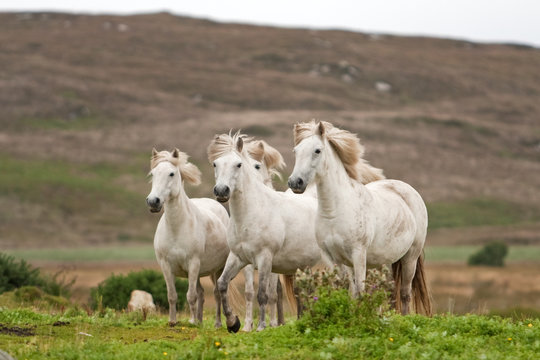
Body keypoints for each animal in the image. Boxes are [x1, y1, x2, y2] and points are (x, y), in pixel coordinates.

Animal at [147, 148, 231, 328]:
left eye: (171, 174)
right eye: (153, 174)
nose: (153, 201)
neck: (176, 229)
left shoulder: (193, 263)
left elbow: (191, 296)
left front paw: (191, 322)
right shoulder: (166, 266)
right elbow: (172, 295)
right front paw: (173, 321)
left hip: (217, 269)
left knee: (216, 293)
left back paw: (217, 323)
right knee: (201, 293)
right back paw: (198, 321)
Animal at [209, 132, 322, 332]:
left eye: (238, 164)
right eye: (215, 163)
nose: (222, 191)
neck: (252, 213)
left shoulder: (264, 258)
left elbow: (263, 294)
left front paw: (262, 326)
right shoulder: (238, 257)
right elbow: (222, 285)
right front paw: (233, 322)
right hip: (303, 265)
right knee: (302, 291)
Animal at [288, 121, 432, 316]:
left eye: (317, 150)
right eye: (296, 151)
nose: (295, 182)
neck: (334, 211)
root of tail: (408, 190)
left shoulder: (358, 255)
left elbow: (360, 292)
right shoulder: (332, 258)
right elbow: (346, 291)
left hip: (410, 257)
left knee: (405, 293)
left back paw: (404, 317)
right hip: (383, 260)